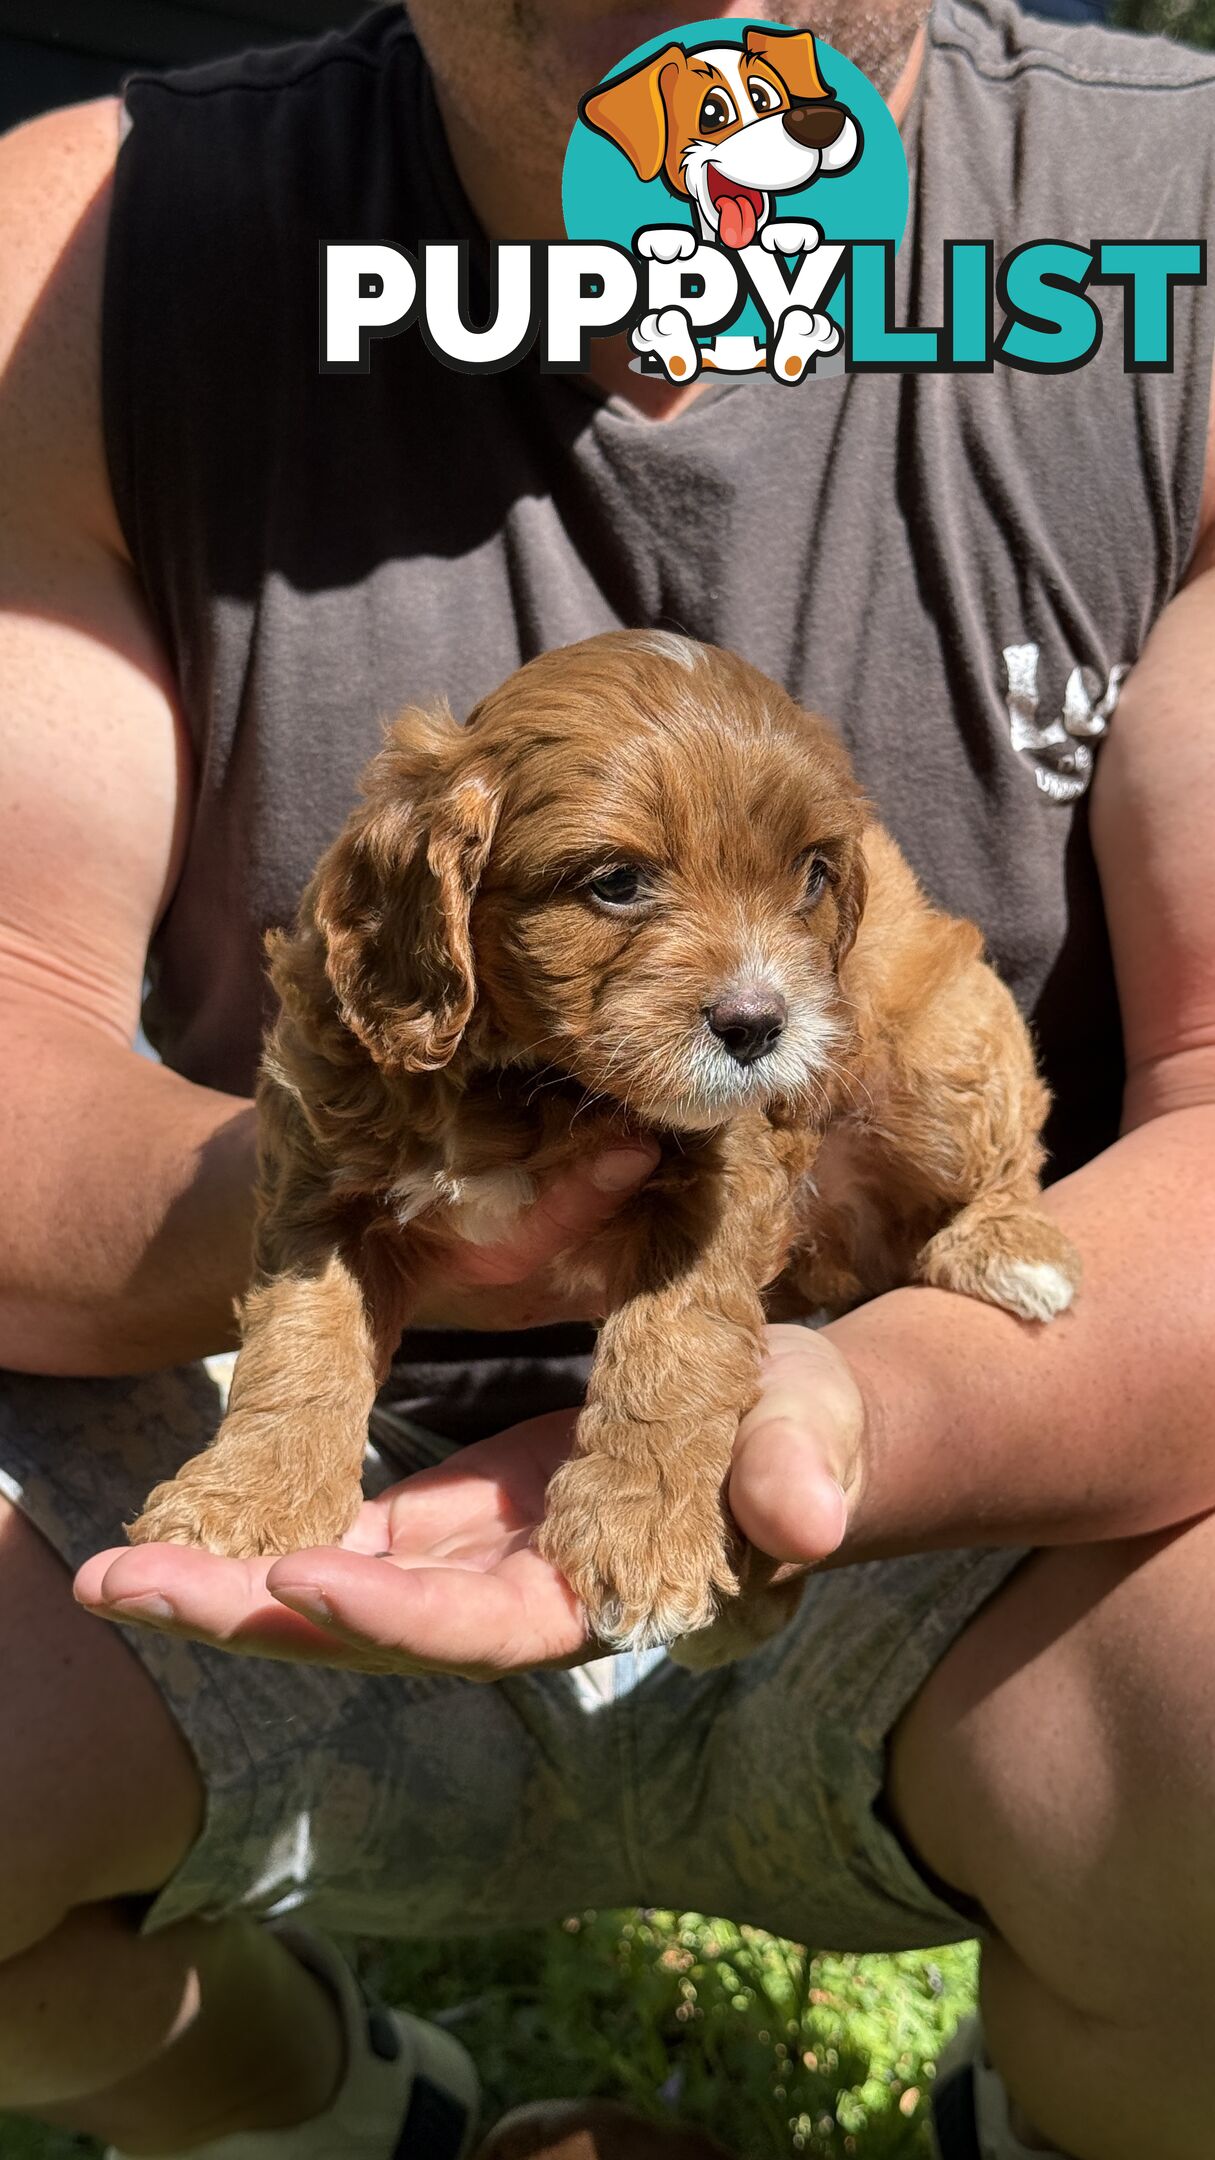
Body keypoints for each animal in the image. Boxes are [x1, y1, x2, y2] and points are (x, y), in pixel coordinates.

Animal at [130, 630, 1076, 1658]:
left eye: (812, 878)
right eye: (616, 883)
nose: (757, 1025)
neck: (529, 1076)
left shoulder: (722, 1174)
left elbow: (676, 1341)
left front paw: (641, 1530)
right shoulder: (320, 1177)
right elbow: (303, 1341)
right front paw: (247, 1500)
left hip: (940, 1049)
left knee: (1000, 1146)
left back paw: (1012, 1249)